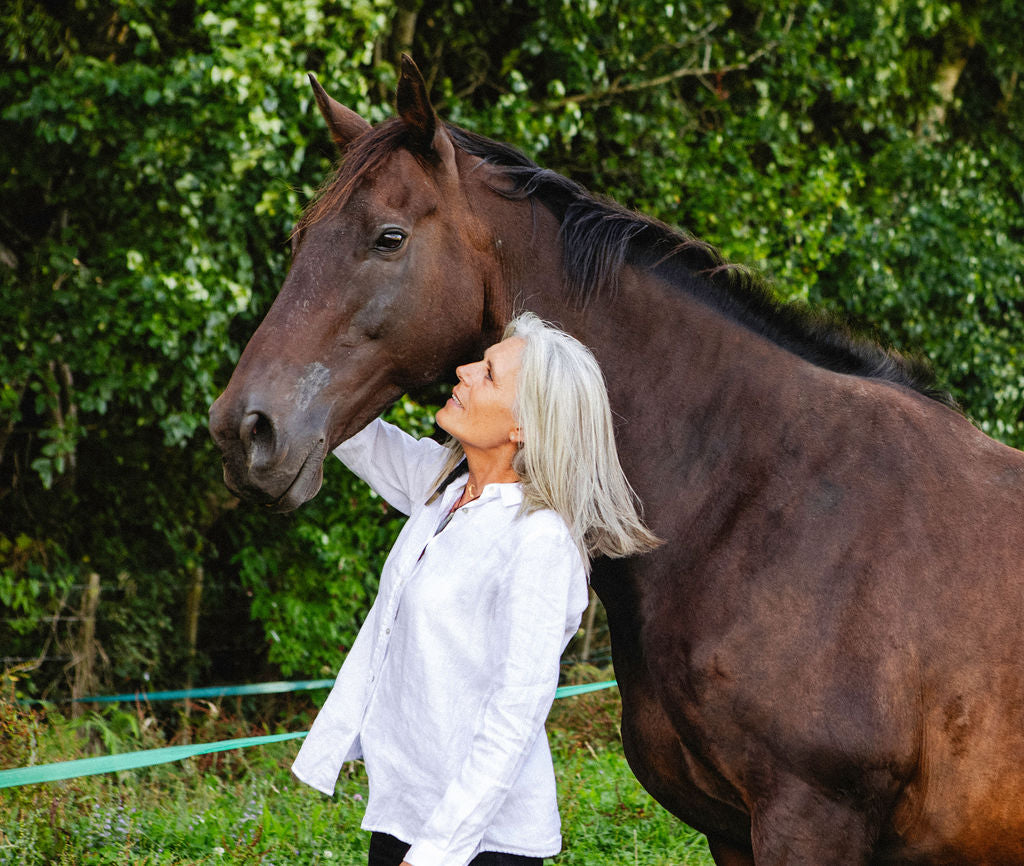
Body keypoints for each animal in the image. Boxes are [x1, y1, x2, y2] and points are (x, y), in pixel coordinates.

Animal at [209, 56, 1024, 866]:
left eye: (389, 237)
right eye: (299, 238)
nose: (244, 430)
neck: (760, 500)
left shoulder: (813, 819)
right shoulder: (730, 831)